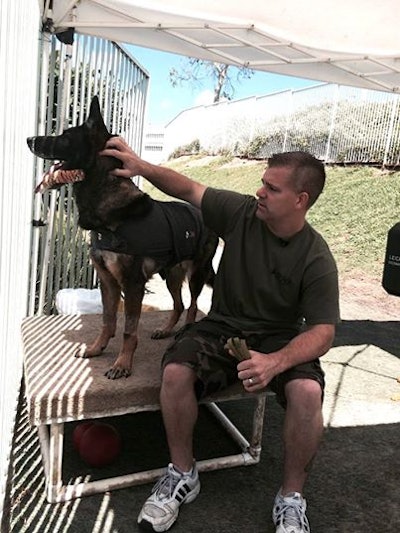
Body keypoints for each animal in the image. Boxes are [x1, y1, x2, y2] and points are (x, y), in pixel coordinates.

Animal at [27, 95, 219, 378]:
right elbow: (108, 321)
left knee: (193, 305)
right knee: (179, 304)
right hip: (172, 275)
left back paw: (183, 331)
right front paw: (96, 349)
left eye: (64, 137)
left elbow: (129, 330)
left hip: (196, 274)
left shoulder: (132, 284)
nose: (29, 139)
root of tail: (203, 211)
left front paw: (122, 364)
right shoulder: (108, 282)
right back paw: (165, 330)